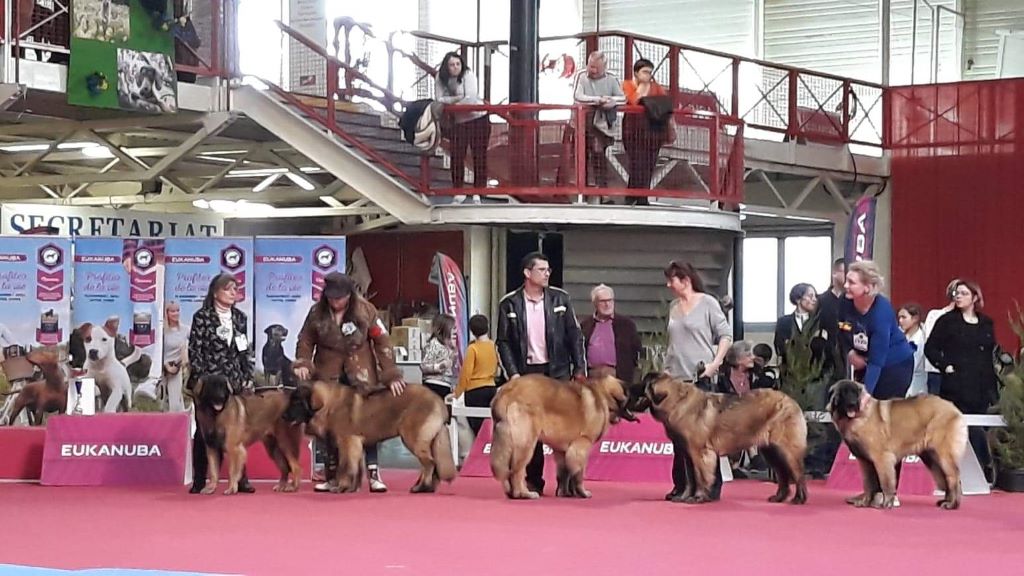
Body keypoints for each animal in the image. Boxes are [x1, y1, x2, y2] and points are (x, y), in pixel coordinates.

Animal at [282, 379, 454, 491]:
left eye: (297, 402)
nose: (283, 416)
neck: (329, 405)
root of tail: (438, 400)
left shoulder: (347, 442)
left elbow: (345, 466)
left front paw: (341, 487)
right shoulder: (355, 443)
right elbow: (355, 467)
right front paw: (352, 488)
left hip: (413, 438)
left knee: (429, 463)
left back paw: (422, 487)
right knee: (433, 464)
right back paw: (428, 487)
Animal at [485, 373, 630, 498]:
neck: (602, 396)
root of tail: (507, 390)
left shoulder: (563, 450)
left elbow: (564, 472)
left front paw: (565, 493)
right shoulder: (582, 444)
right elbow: (578, 472)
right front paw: (582, 492)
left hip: (505, 441)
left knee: (507, 469)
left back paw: (511, 492)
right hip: (526, 442)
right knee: (517, 470)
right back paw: (523, 493)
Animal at [638, 373, 806, 502]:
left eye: (641, 385)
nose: (632, 388)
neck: (677, 402)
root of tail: (792, 400)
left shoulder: (699, 453)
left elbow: (700, 476)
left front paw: (698, 497)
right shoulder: (687, 453)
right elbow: (689, 478)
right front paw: (683, 497)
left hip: (786, 450)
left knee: (798, 474)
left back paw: (799, 499)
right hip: (771, 451)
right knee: (783, 475)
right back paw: (779, 498)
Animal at [827, 381, 962, 506]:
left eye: (855, 393)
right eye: (844, 393)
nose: (852, 404)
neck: (859, 417)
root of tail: (953, 407)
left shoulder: (882, 458)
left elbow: (885, 482)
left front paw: (886, 503)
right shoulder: (865, 461)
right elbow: (868, 483)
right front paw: (865, 502)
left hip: (943, 455)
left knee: (953, 477)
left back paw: (951, 504)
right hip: (931, 457)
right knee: (946, 478)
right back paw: (946, 501)